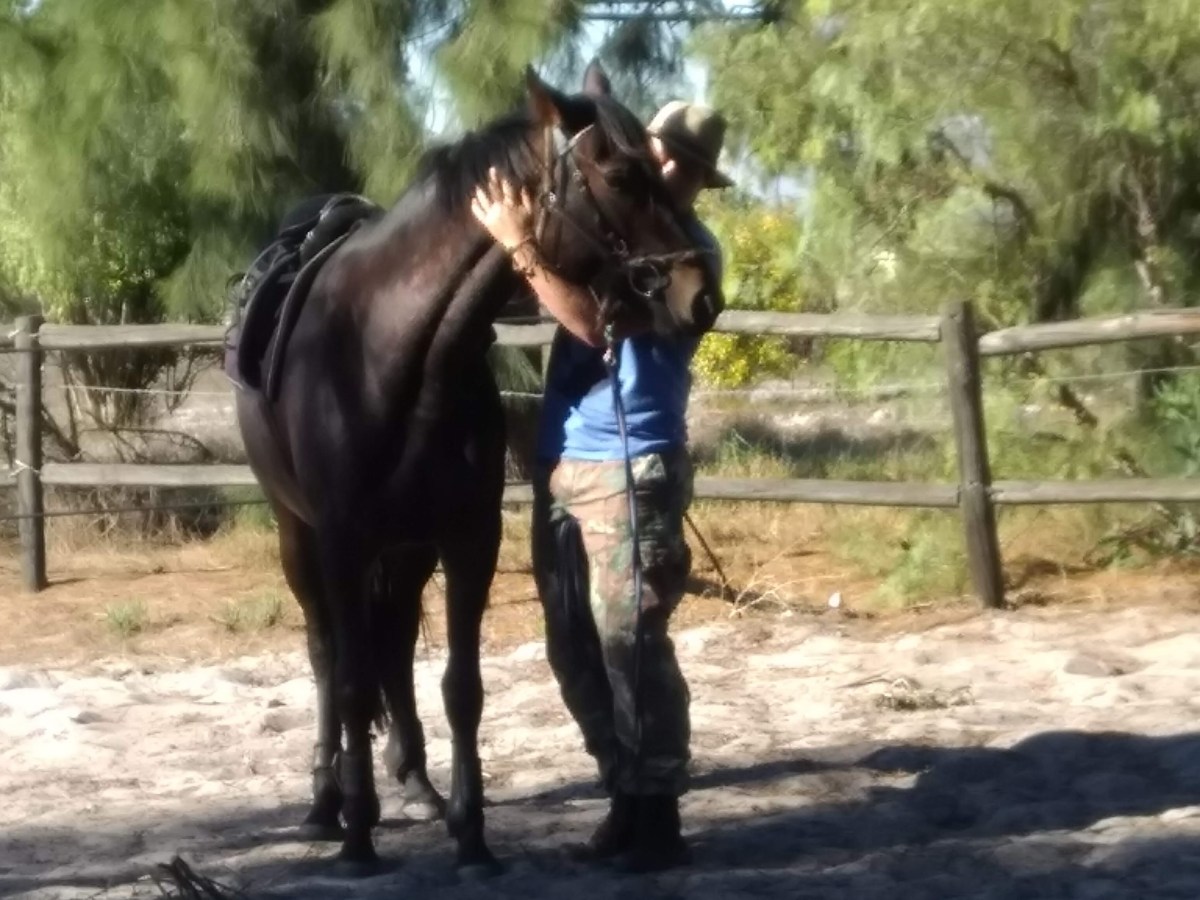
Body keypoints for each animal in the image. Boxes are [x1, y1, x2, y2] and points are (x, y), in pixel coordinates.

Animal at [229, 60, 723, 874]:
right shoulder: (341, 542)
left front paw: (471, 836)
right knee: (328, 656)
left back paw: (416, 783)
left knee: (395, 644)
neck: (387, 352)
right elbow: (352, 682)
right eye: (622, 175)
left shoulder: (467, 540)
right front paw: (359, 838)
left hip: (406, 550)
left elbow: (462, 686)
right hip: (297, 537)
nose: (701, 295)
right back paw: (327, 804)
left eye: (663, 177)